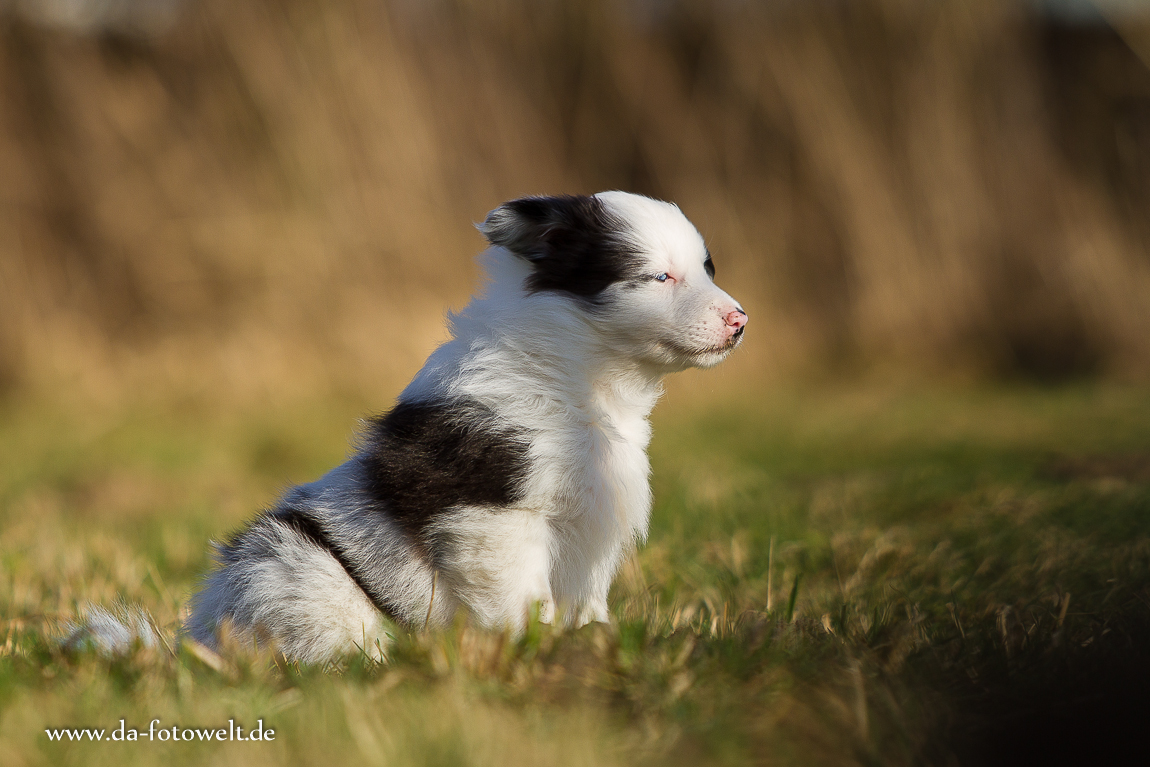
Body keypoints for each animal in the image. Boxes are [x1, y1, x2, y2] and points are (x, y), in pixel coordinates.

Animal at [186, 190, 745, 662]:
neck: (568, 376)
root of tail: (202, 631)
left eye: (706, 269)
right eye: (659, 277)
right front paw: (533, 652)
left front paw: (592, 641)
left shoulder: (596, 525)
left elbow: (585, 602)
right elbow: (522, 599)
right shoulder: (493, 517)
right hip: (294, 567)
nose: (741, 320)